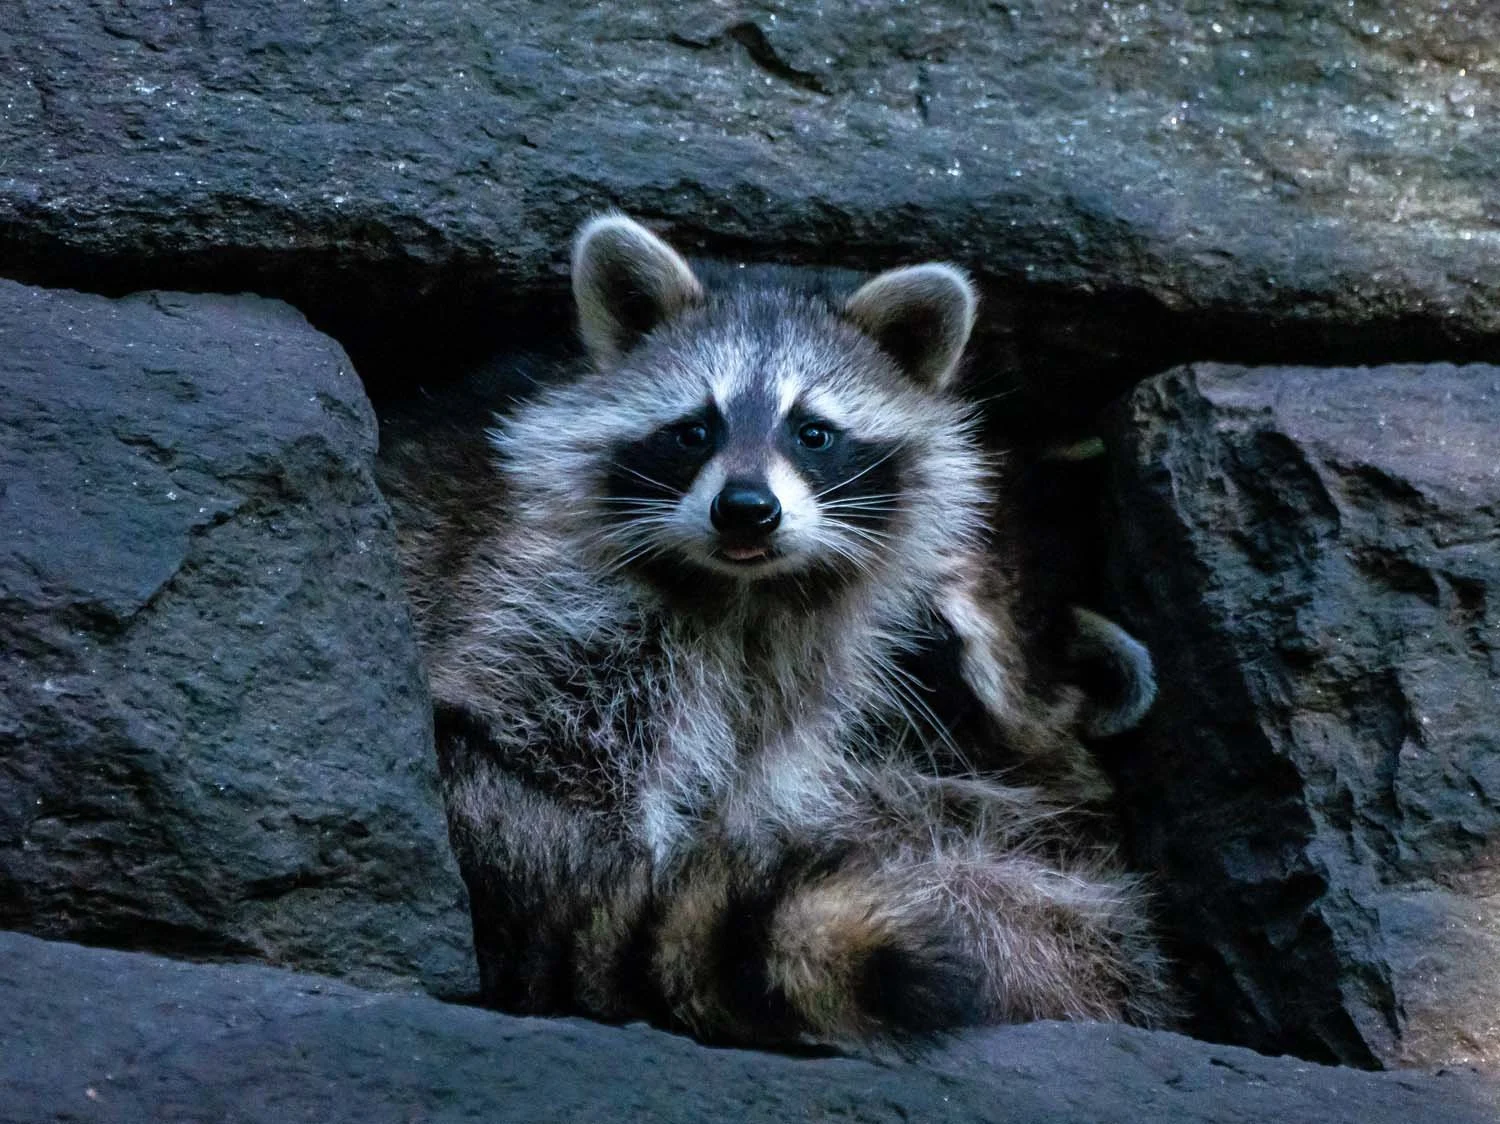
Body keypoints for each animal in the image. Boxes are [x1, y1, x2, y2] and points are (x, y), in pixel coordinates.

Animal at [378, 215, 1168, 1046]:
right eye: (692, 431)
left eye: (814, 434)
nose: (746, 509)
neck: (747, 601)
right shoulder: (549, 603)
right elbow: (577, 758)